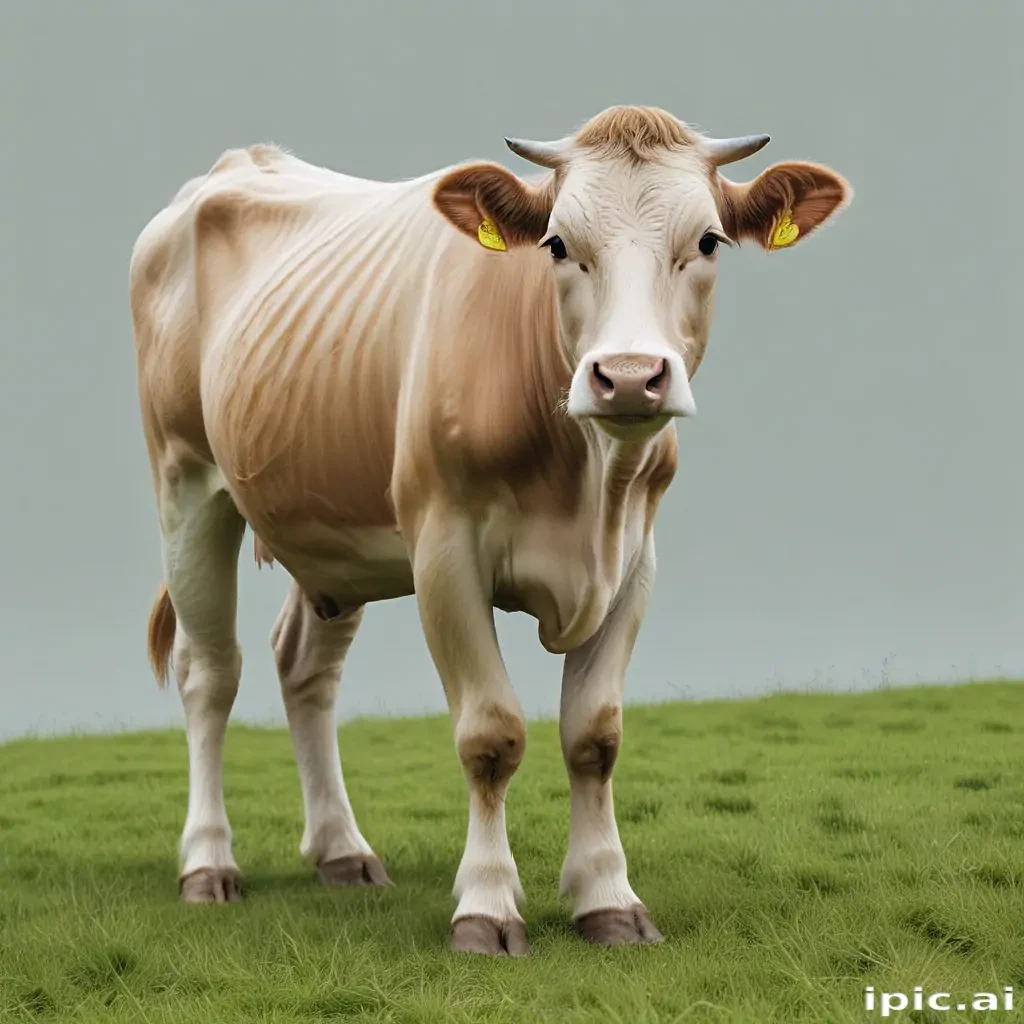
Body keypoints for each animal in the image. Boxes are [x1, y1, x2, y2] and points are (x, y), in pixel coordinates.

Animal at [130, 105, 851, 956]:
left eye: (707, 241)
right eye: (557, 245)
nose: (629, 377)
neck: (589, 487)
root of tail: (240, 162)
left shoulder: (634, 562)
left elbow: (595, 737)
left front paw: (608, 899)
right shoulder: (445, 549)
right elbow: (491, 735)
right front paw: (485, 907)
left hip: (329, 527)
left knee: (304, 669)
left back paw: (342, 851)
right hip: (187, 480)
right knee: (210, 673)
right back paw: (208, 864)